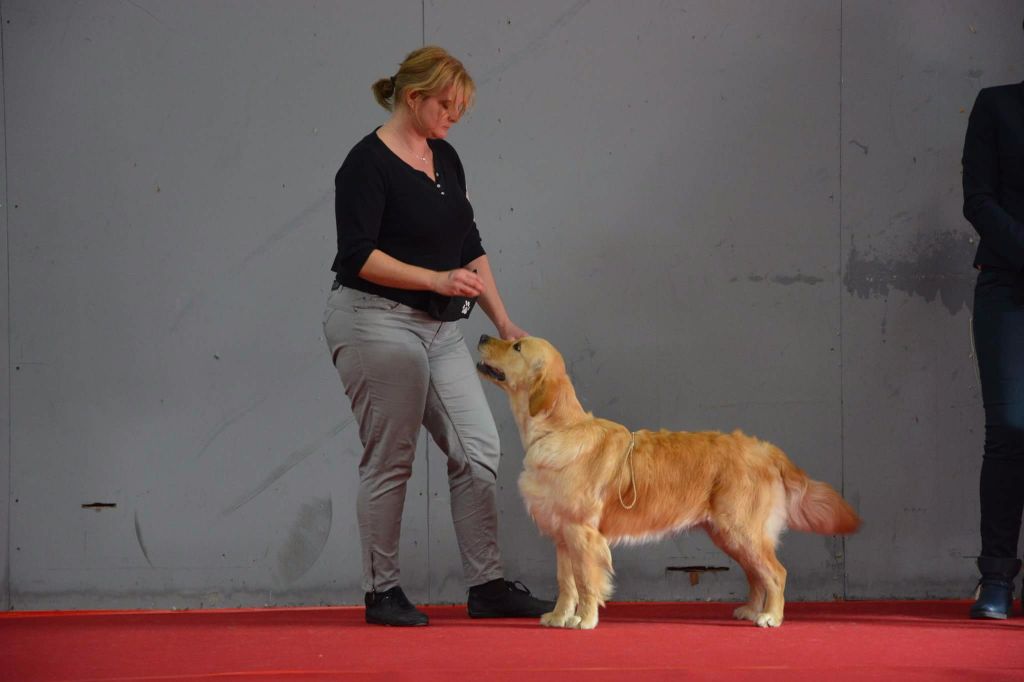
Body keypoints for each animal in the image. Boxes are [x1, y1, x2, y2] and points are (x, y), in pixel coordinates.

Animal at [476, 335, 861, 629]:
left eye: (517, 346)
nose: (481, 336)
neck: (556, 429)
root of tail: (766, 450)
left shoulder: (582, 532)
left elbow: (585, 581)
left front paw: (584, 619)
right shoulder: (561, 534)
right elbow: (566, 582)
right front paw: (558, 617)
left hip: (741, 528)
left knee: (776, 573)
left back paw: (771, 617)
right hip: (728, 534)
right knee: (757, 575)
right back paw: (752, 610)